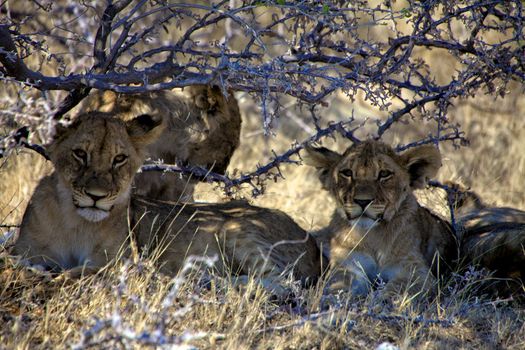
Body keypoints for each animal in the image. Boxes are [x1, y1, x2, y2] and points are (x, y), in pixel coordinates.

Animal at [12, 113, 322, 284]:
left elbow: (84, 272)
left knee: (282, 285)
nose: (95, 197)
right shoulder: (27, 251)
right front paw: (38, 274)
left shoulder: (120, 261)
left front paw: (59, 277)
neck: (77, 222)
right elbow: (22, 266)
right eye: (79, 154)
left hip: (239, 232)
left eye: (119, 159)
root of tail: (314, 244)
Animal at [302, 141, 458, 296]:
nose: (362, 201)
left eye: (384, 174)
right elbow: (337, 287)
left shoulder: (416, 271)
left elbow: (394, 293)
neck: (371, 235)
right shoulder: (347, 266)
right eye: (347, 173)